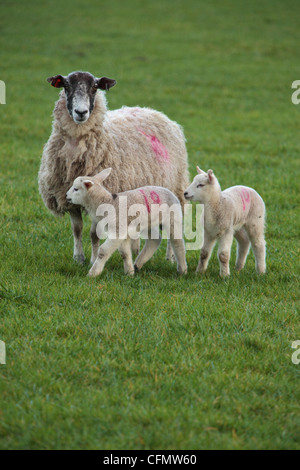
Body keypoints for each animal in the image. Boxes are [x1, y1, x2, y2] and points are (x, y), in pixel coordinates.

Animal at [38, 72, 190, 266]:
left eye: (94, 87)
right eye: (66, 86)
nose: (81, 112)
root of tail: (153, 111)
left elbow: (93, 234)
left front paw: (93, 259)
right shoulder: (68, 197)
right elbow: (77, 229)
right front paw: (79, 258)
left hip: (175, 189)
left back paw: (170, 257)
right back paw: (135, 250)